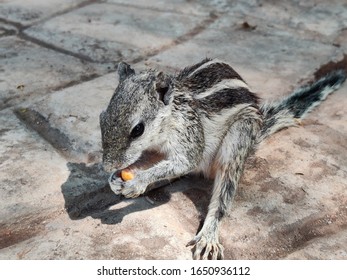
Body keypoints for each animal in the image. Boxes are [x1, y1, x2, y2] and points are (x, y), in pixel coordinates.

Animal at [99, 59, 346, 260]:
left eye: (138, 130)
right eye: (102, 119)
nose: (107, 166)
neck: (169, 117)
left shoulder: (189, 136)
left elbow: (184, 162)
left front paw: (137, 182)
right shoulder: (156, 151)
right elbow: (152, 162)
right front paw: (118, 179)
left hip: (238, 138)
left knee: (222, 195)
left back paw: (209, 235)